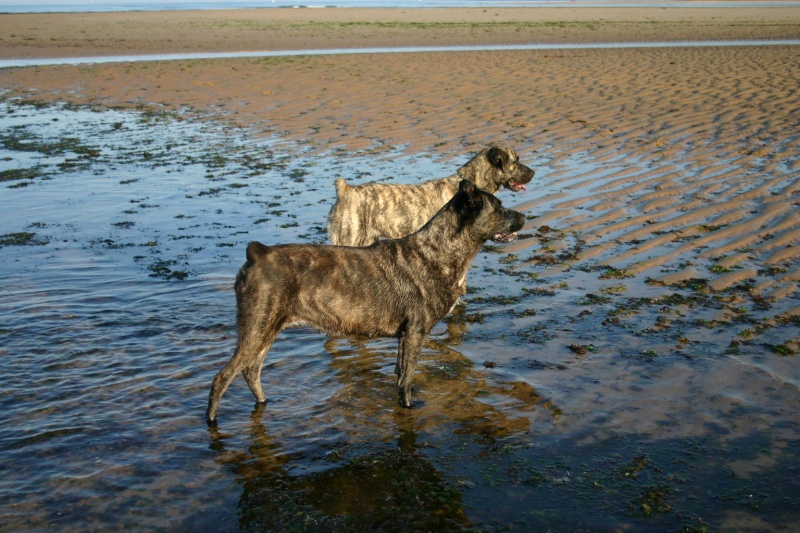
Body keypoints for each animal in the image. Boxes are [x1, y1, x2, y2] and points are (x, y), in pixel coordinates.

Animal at [206, 180, 524, 424]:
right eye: (498, 207)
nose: (523, 217)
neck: (438, 251)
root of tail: (257, 253)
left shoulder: (404, 337)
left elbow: (399, 375)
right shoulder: (416, 332)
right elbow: (407, 381)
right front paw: (409, 407)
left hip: (266, 329)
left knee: (251, 371)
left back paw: (263, 403)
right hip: (257, 327)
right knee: (222, 377)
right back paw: (212, 421)